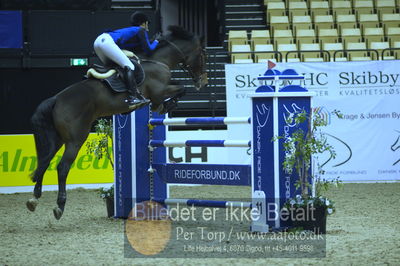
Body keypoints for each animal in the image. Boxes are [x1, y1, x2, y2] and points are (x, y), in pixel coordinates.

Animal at [25, 25, 208, 220]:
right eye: (202, 55)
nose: (203, 82)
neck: (159, 61)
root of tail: (56, 99)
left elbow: (178, 87)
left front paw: (165, 105)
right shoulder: (159, 92)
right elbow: (181, 88)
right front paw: (165, 105)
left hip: (56, 139)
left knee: (44, 161)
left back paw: (34, 200)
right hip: (76, 139)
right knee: (62, 167)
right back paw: (59, 206)